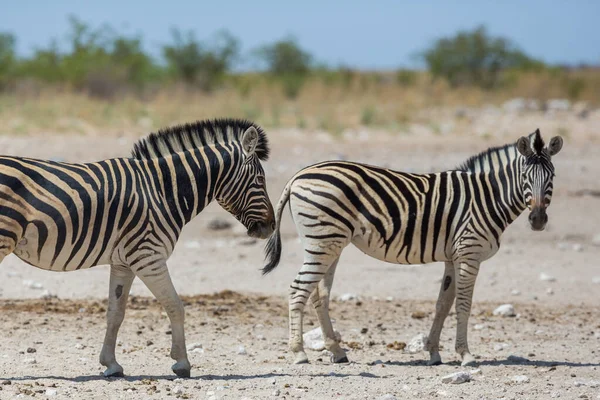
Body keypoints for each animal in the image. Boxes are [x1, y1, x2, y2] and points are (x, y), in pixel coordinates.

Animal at [0, 117, 276, 376]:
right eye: (260, 179)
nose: (271, 226)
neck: (163, 190)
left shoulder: (124, 262)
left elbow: (116, 312)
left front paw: (111, 365)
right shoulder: (148, 256)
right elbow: (175, 306)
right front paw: (182, 363)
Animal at [262, 130, 564, 368]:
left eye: (552, 176)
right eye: (525, 176)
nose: (538, 220)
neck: (487, 197)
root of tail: (298, 175)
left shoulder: (453, 257)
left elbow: (443, 304)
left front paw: (433, 353)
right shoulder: (469, 253)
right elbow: (463, 305)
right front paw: (465, 355)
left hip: (329, 244)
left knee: (319, 296)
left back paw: (337, 352)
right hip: (322, 242)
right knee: (297, 290)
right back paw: (299, 353)